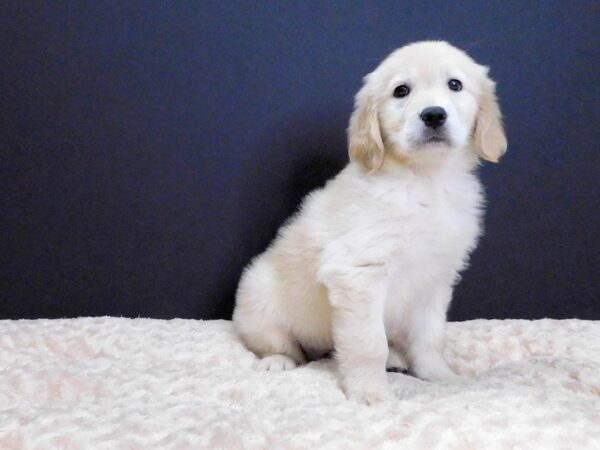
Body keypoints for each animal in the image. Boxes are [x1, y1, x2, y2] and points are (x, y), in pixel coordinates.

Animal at [232, 42, 504, 406]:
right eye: (401, 91)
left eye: (455, 85)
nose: (433, 115)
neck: (424, 179)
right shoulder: (359, 274)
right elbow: (367, 344)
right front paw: (372, 394)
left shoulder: (435, 279)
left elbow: (430, 337)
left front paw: (440, 377)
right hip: (259, 299)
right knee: (279, 344)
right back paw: (279, 361)